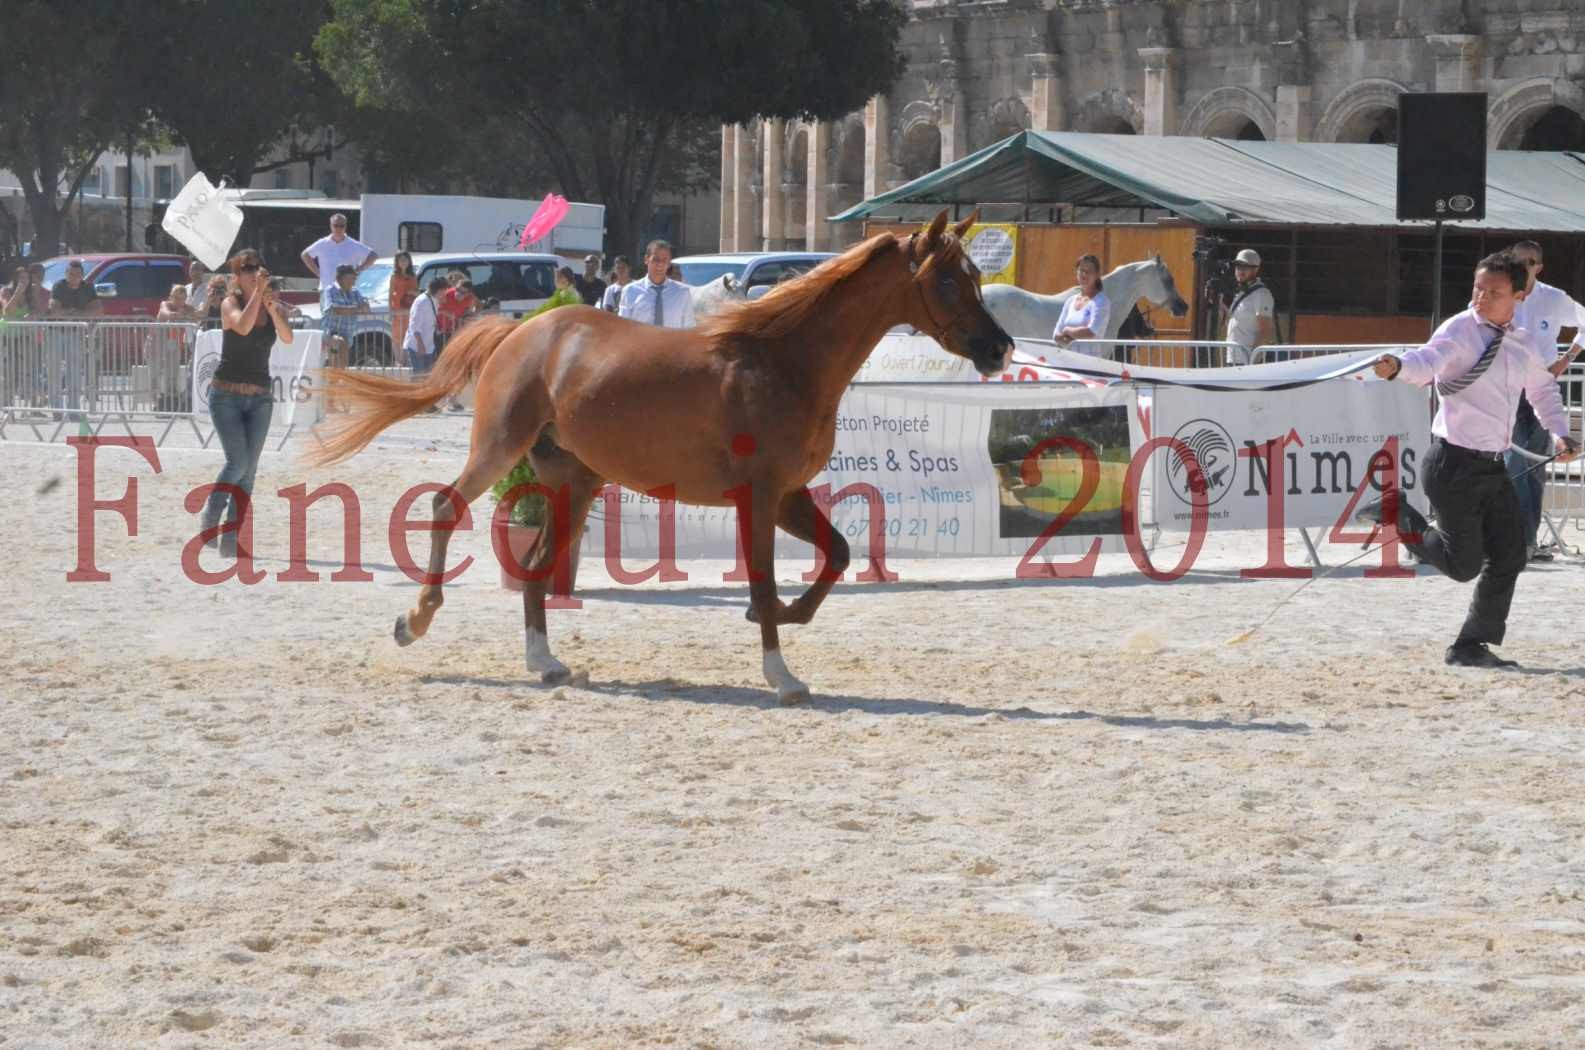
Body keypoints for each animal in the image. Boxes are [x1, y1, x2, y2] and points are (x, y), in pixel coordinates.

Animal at [305, 212, 1014, 707]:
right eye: (947, 279)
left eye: (977, 278)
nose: (1000, 349)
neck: (785, 363)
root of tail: (523, 329)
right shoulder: (759, 497)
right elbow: (764, 578)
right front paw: (781, 673)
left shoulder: (787, 494)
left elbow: (836, 556)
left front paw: (783, 618)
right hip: (499, 447)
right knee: (446, 506)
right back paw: (415, 620)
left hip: (574, 480)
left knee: (536, 567)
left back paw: (546, 663)